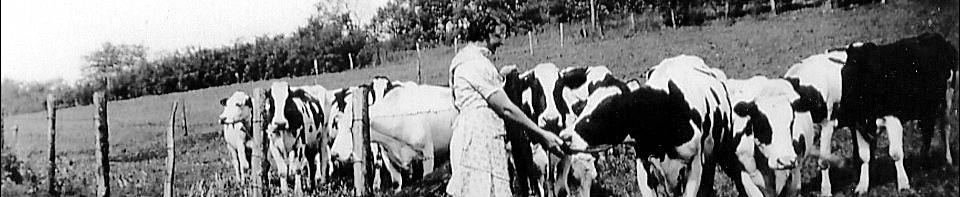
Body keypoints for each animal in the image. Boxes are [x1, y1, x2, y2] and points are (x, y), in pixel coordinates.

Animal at [836, 32, 956, 194]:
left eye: (870, 70)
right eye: (845, 72)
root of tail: (935, 36)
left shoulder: (893, 118)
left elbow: (895, 153)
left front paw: (903, 183)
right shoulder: (860, 124)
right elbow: (864, 156)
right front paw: (862, 185)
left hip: (947, 98)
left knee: (945, 129)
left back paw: (948, 161)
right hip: (926, 107)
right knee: (928, 131)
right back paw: (922, 162)